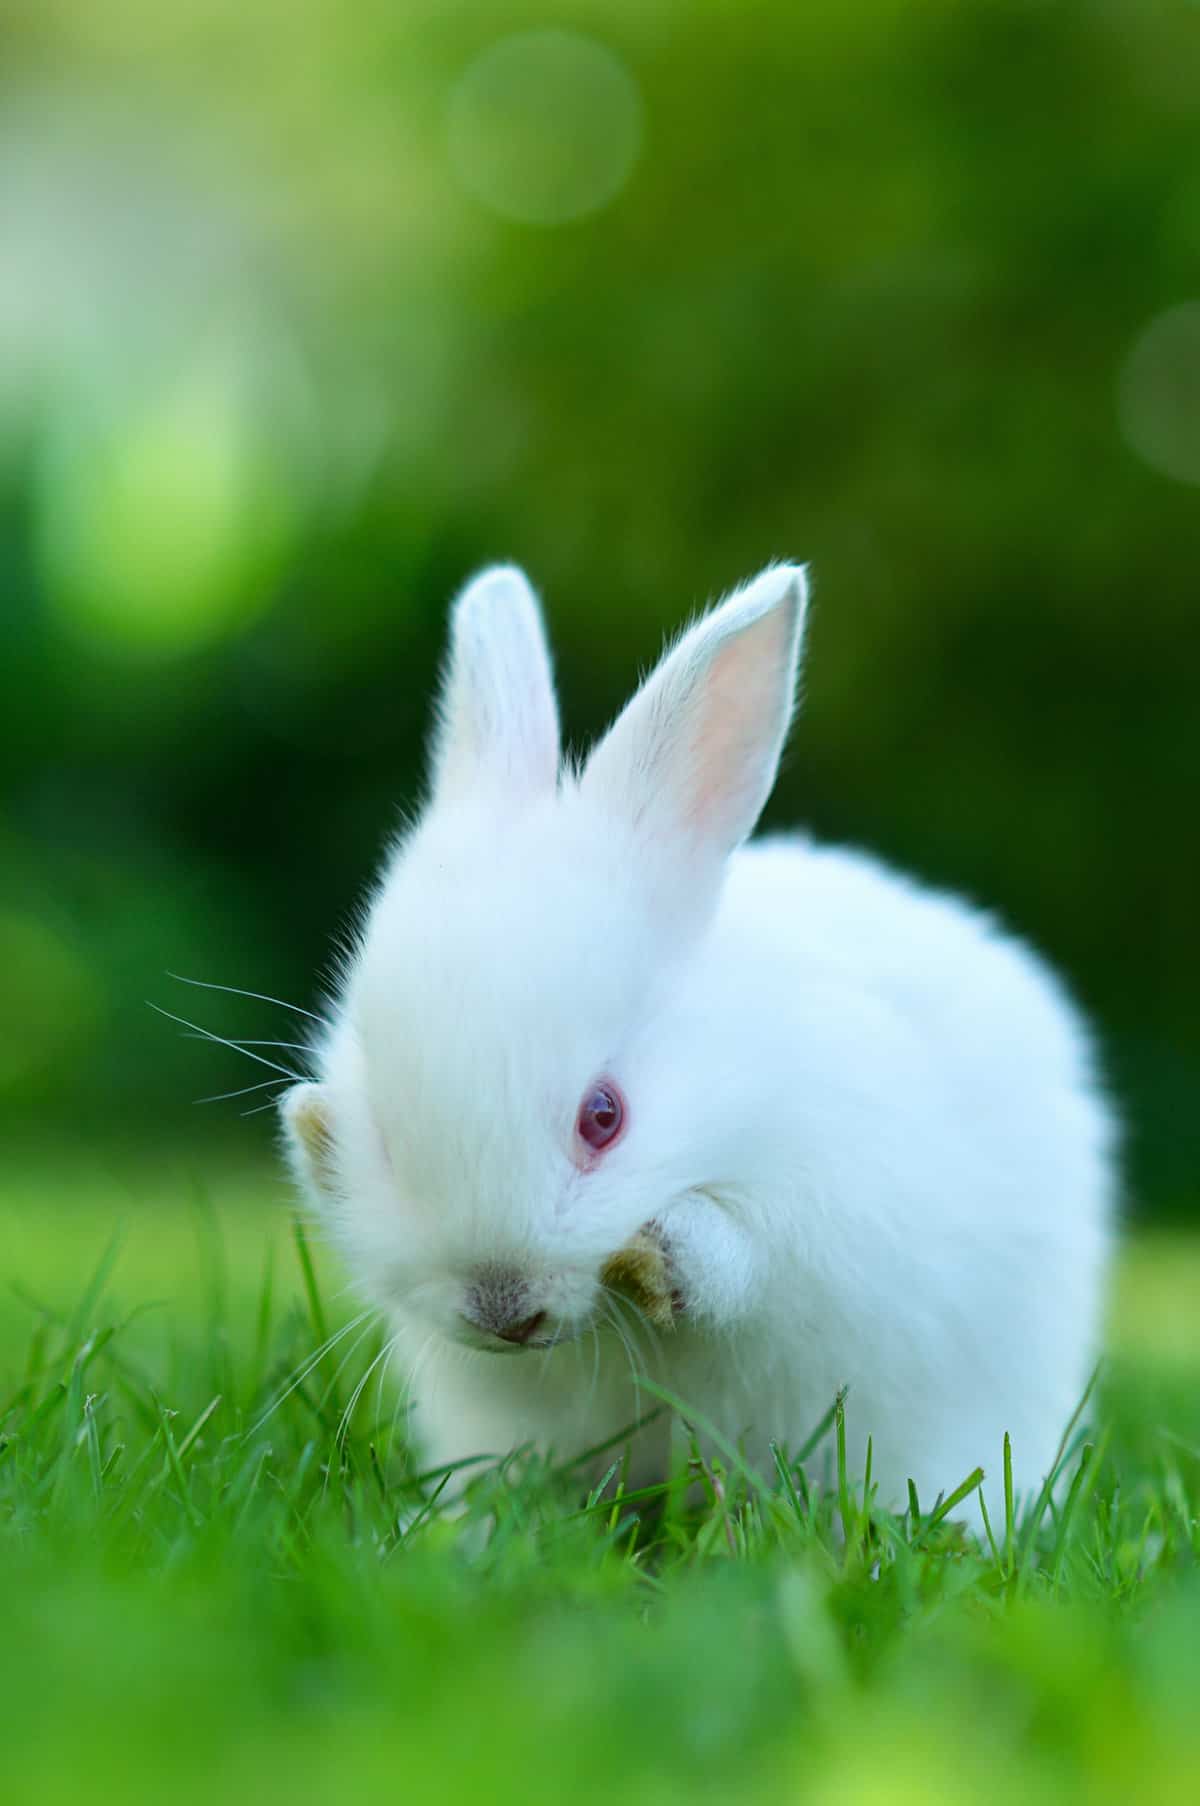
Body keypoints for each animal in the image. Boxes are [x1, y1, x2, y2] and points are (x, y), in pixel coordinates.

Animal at [280, 562, 1117, 1526]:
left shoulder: (824, 1214)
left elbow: (744, 1258)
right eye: (384, 1135)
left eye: (604, 1118)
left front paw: (670, 1250)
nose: (503, 1309)